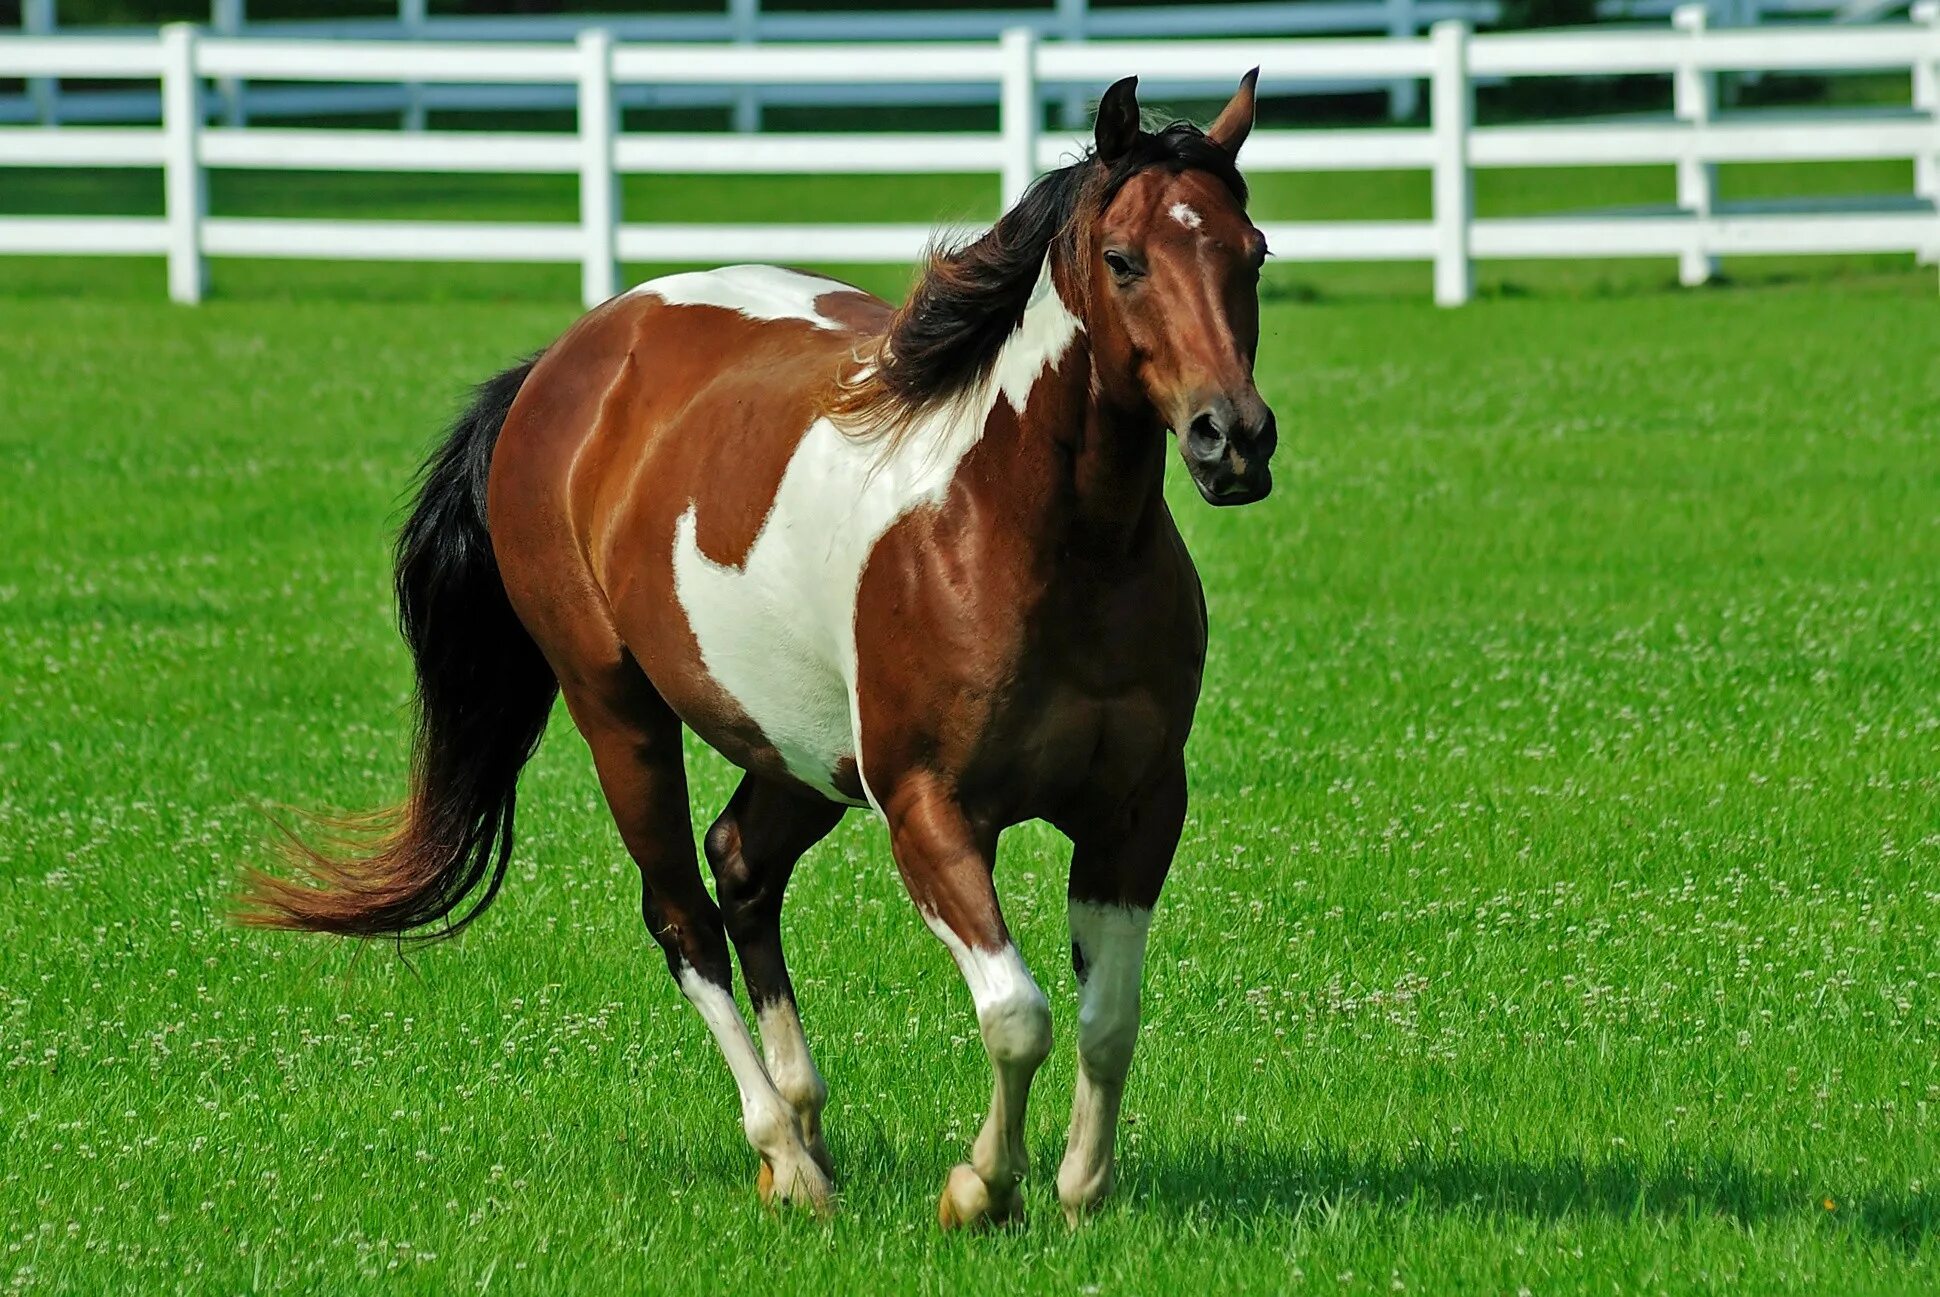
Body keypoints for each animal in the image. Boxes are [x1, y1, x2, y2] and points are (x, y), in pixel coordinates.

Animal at [246, 70, 1272, 1225]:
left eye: (1251, 252)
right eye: (1124, 259)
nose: (1231, 438)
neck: (1024, 529)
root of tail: (569, 360)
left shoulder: (1135, 808)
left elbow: (1106, 1016)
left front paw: (1080, 1188)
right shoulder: (928, 810)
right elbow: (1019, 1011)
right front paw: (979, 1185)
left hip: (797, 750)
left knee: (740, 864)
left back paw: (806, 1127)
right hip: (620, 716)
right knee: (683, 917)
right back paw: (787, 1152)